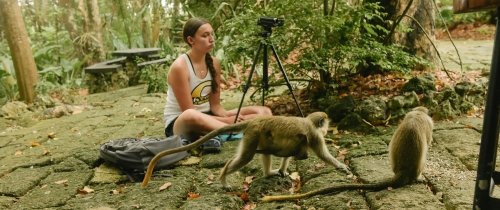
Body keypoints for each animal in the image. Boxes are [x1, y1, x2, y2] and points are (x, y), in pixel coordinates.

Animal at [142, 112, 352, 188]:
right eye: (325, 124)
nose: (327, 128)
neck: (309, 122)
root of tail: (254, 121)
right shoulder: (315, 136)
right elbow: (322, 154)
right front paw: (341, 166)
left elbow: (292, 152)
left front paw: (283, 170)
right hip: (253, 134)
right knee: (246, 157)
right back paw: (224, 175)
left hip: (257, 134)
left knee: (266, 150)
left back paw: (268, 173)